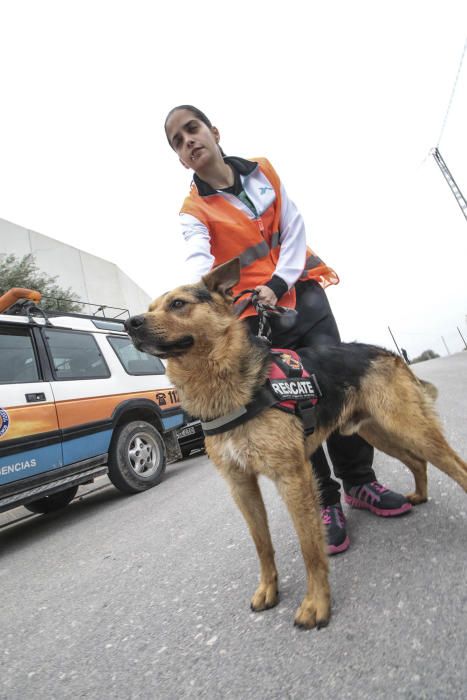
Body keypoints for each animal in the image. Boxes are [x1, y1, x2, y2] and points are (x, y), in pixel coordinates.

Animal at [124, 260, 467, 632]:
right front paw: (268, 589)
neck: (224, 384)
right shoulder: (241, 485)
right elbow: (262, 545)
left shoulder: (292, 476)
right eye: (150, 307)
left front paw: (316, 604)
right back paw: (418, 495)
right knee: (417, 462)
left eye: (178, 304)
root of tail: (386, 351)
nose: (129, 324)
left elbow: (310, 548)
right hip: (377, 432)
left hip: (410, 427)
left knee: (455, 466)